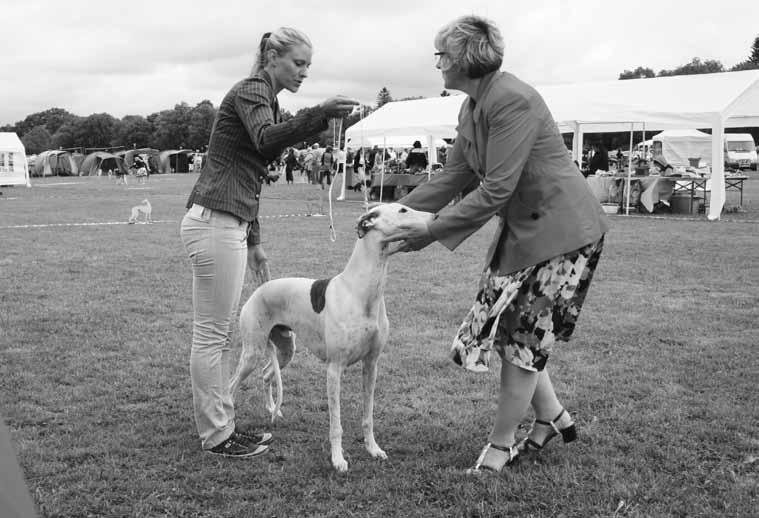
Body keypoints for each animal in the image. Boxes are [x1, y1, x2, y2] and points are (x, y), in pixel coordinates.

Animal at [229, 205, 434, 474]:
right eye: (402, 209)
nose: (435, 217)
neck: (360, 291)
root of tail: (258, 290)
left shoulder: (371, 365)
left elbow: (368, 417)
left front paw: (373, 449)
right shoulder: (334, 369)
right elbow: (336, 424)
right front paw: (338, 459)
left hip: (285, 350)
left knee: (265, 374)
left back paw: (274, 411)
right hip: (251, 352)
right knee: (230, 386)